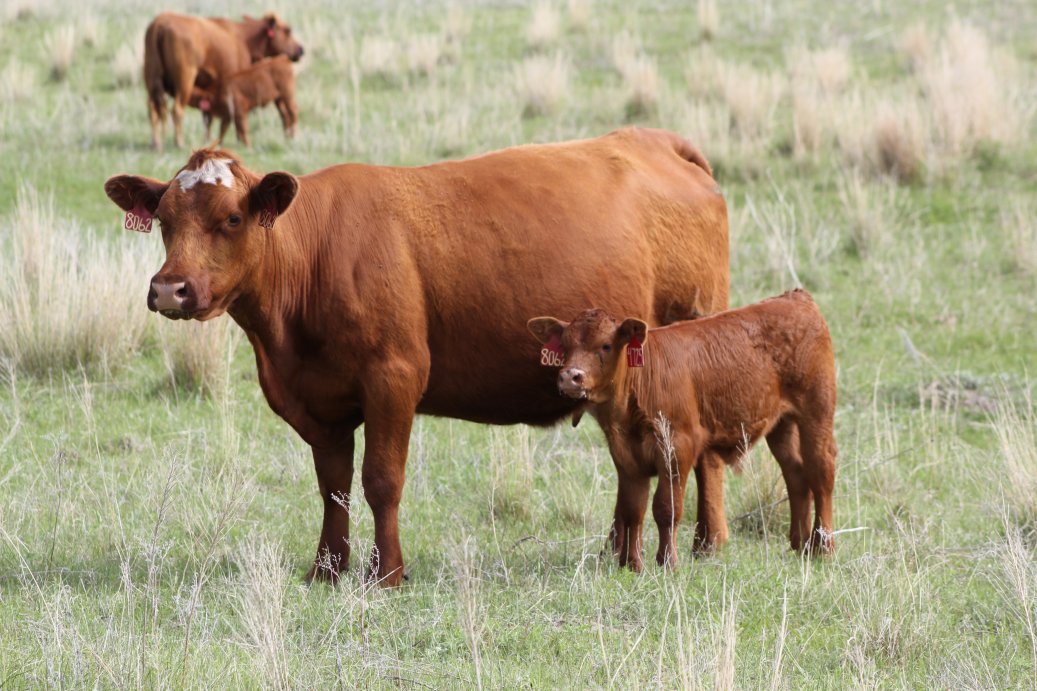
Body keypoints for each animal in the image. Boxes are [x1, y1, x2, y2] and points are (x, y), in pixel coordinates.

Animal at [103, 127, 729, 586]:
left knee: (706, 454)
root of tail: (655, 140)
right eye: (163, 221)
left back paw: (707, 543)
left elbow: (382, 479)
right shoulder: (317, 402)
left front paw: (388, 574)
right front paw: (327, 568)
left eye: (231, 218)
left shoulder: (394, 378)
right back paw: (618, 550)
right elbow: (333, 485)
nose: (170, 289)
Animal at [143, 11, 303, 150]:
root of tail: (160, 22)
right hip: (184, 82)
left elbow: (208, 117)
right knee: (177, 110)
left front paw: (208, 140)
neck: (243, 37)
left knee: (152, 111)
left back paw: (155, 143)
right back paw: (179, 142)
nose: (301, 50)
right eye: (287, 31)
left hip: (152, 83)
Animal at [527, 289, 837, 571]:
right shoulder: (626, 456)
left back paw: (824, 547)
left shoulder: (678, 447)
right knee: (796, 474)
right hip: (782, 424)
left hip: (817, 412)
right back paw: (800, 544)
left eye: (605, 345)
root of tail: (796, 297)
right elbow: (633, 509)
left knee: (821, 472)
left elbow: (666, 507)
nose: (570, 376)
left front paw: (667, 562)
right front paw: (632, 564)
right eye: (566, 346)